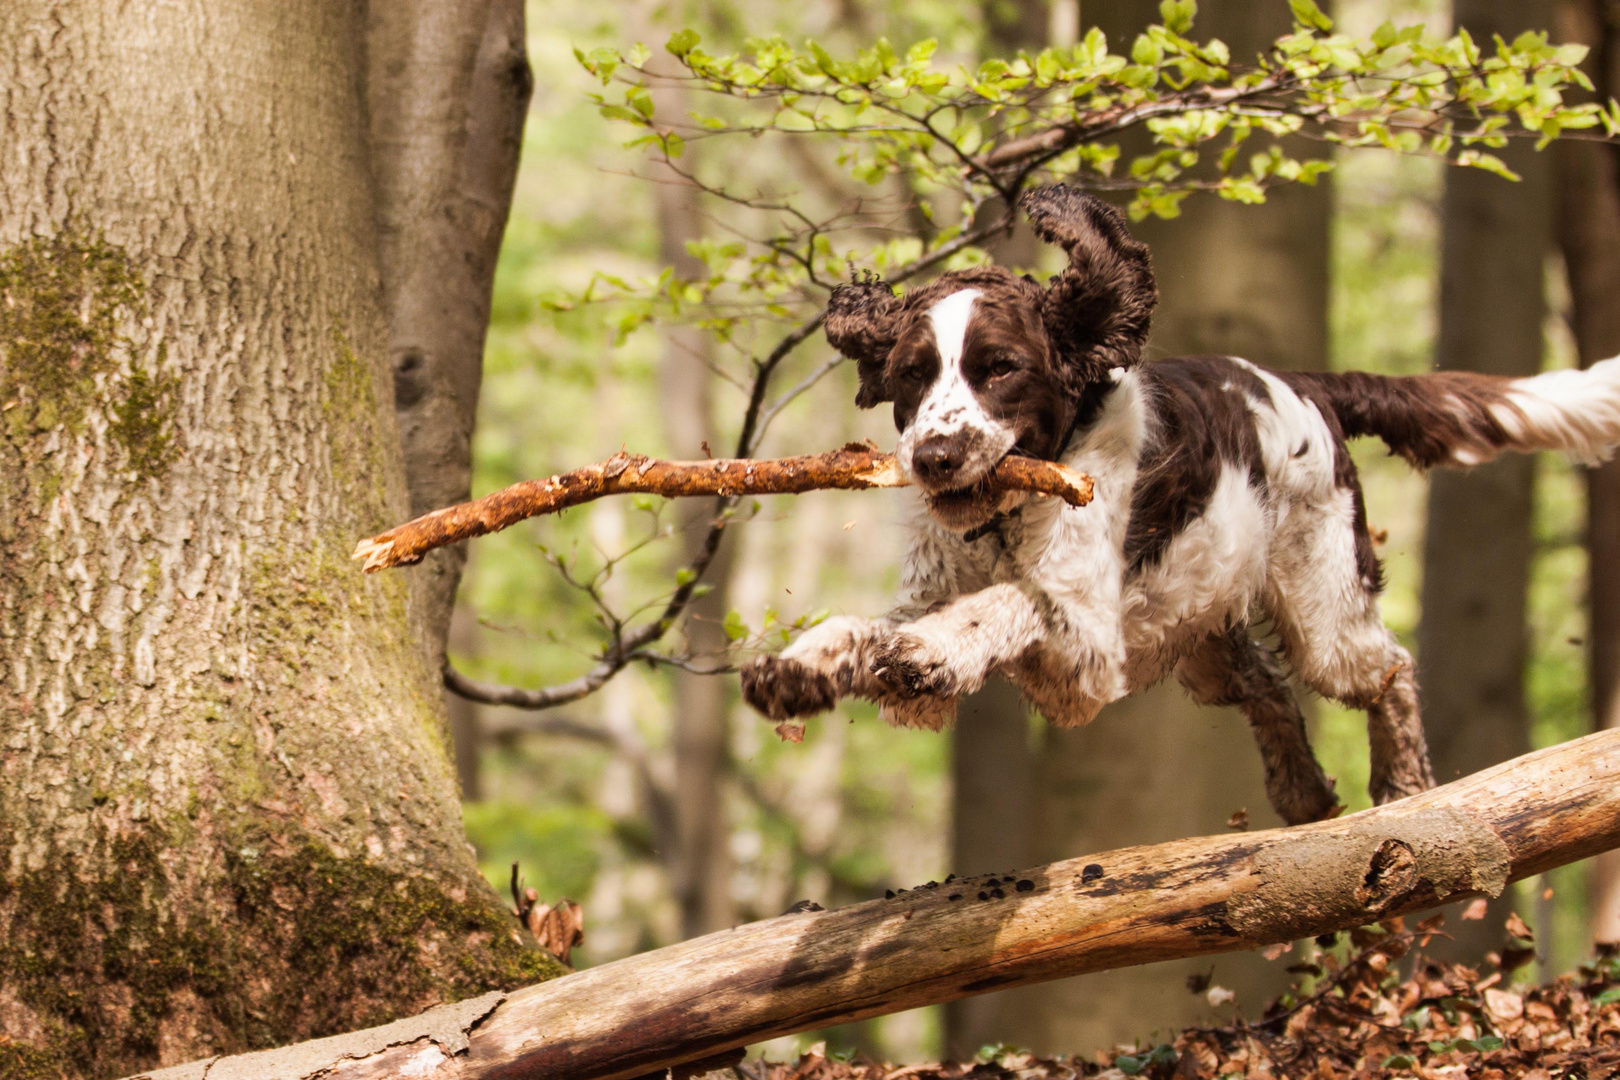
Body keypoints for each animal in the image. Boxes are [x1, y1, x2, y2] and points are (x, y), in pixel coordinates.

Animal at [741, 187, 1620, 829]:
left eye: (1000, 368)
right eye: (912, 375)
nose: (935, 457)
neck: (1007, 516)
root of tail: (1306, 384)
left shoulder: (1086, 648)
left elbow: (1007, 603)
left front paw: (929, 651)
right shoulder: (944, 591)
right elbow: (867, 627)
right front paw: (798, 668)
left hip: (1322, 608)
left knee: (1387, 670)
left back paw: (1403, 782)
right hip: (1201, 629)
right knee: (1268, 685)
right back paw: (1304, 792)